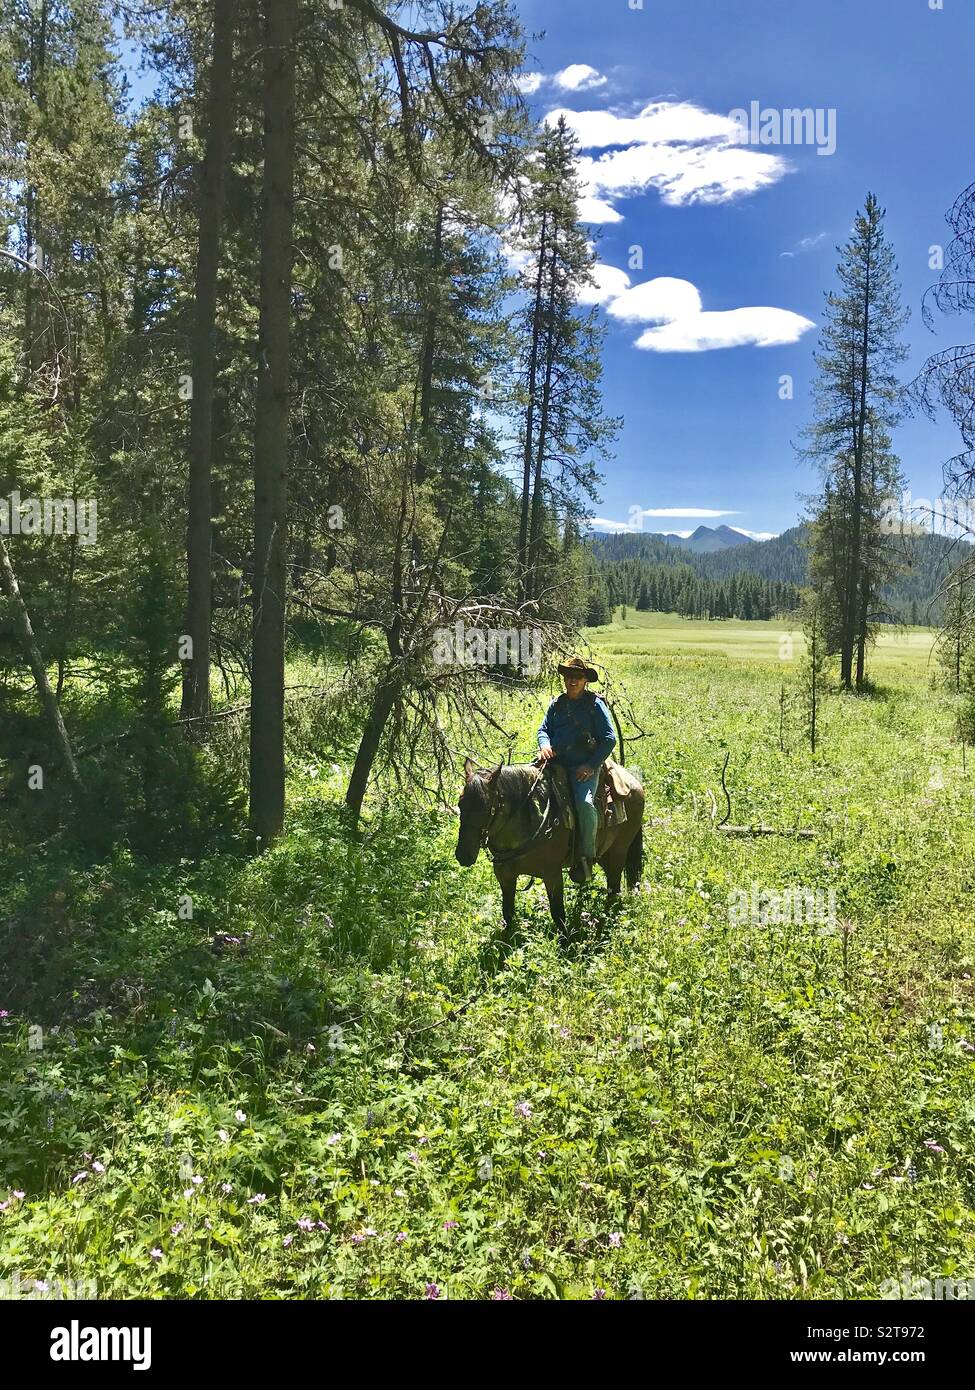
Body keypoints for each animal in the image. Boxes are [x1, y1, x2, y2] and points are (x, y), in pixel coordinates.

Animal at [456, 761, 645, 945]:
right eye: (460, 804)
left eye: (487, 809)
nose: (463, 856)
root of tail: (634, 782)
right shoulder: (504, 874)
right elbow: (507, 912)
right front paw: (507, 944)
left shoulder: (552, 874)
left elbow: (558, 913)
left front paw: (564, 945)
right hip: (604, 855)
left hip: (619, 851)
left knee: (614, 889)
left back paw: (604, 928)